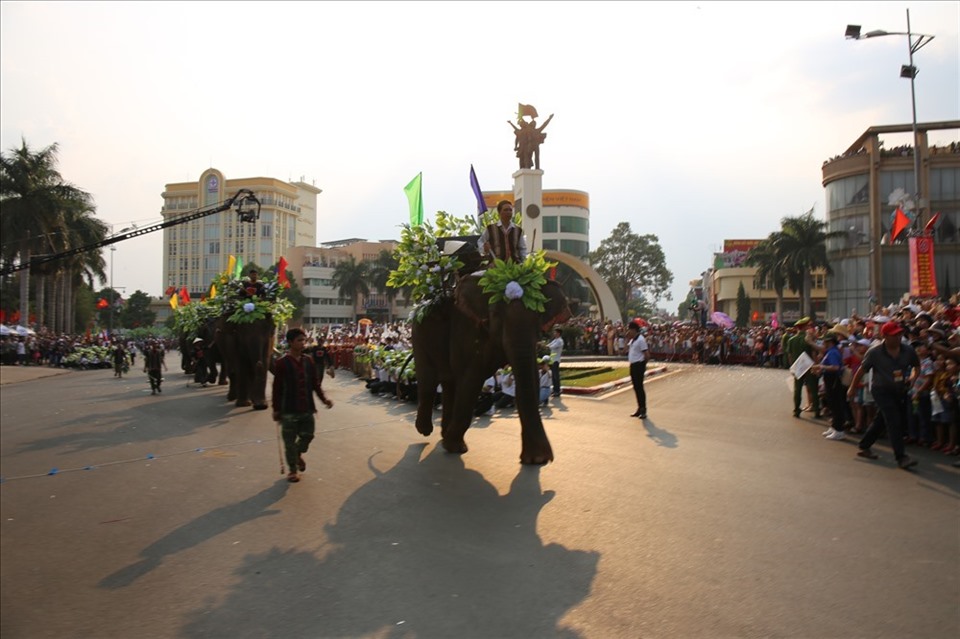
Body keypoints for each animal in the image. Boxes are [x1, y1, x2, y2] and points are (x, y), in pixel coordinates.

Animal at [410, 276, 568, 464]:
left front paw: (537, 460)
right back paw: (425, 430)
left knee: (449, 382)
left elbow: (530, 377)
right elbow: (471, 378)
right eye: (496, 314)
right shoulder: (467, 330)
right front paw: (455, 448)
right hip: (419, 335)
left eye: (538, 315)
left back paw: (443, 434)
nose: (545, 459)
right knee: (429, 379)